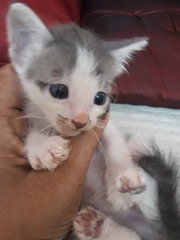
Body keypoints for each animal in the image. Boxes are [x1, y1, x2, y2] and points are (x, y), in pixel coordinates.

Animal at [6, 3, 179, 240]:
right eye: (58, 90)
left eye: (99, 97)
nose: (81, 121)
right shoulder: (30, 111)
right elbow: (31, 130)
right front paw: (42, 147)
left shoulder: (102, 120)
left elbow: (114, 140)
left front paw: (123, 176)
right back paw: (94, 225)